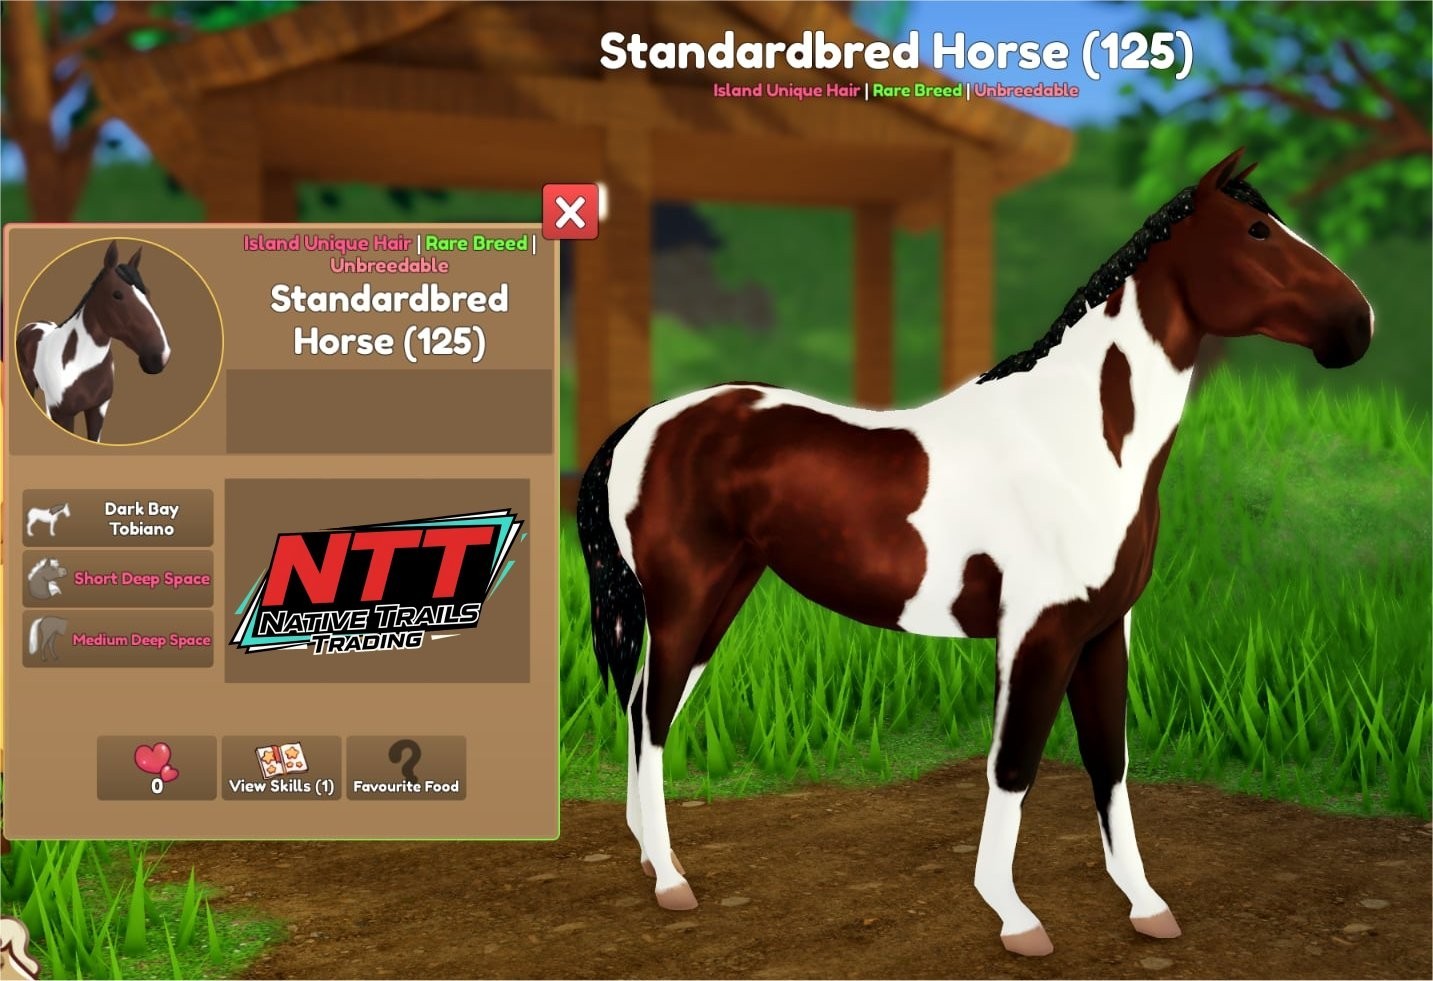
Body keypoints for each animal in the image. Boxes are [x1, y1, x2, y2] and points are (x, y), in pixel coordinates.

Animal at [17, 240, 171, 442]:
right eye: (117, 294)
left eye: (147, 294)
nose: (161, 355)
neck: (81, 365)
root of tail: (31, 325)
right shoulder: (62, 413)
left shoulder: (98, 409)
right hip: (29, 383)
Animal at [575, 150, 1373, 955]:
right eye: (1256, 231)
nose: (1356, 325)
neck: (1078, 438)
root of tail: (646, 423)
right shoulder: (1038, 633)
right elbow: (1013, 763)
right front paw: (1015, 916)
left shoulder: (1102, 630)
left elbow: (1109, 760)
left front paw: (1145, 906)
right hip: (687, 598)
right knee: (651, 718)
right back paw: (671, 884)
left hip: (721, 595)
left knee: (644, 708)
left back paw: (655, 861)